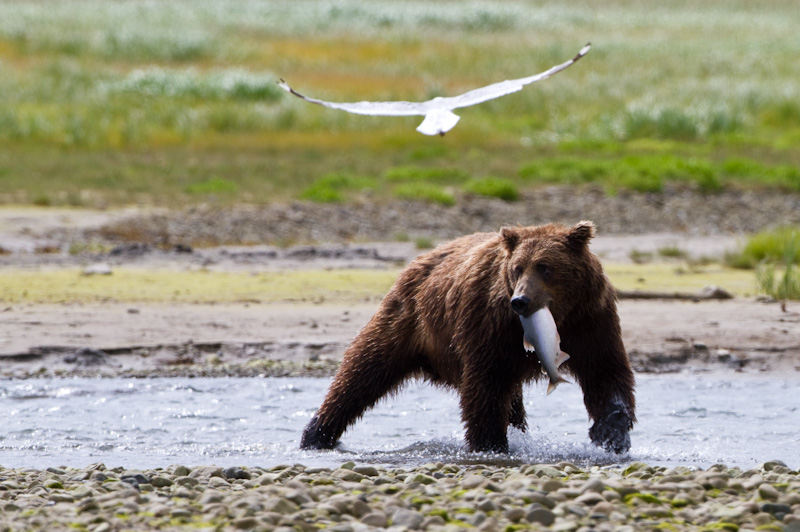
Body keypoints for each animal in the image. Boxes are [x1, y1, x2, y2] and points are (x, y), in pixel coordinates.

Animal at [300, 220, 636, 454]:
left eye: (545, 267)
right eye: (517, 268)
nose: (521, 301)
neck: (559, 317)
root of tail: (422, 258)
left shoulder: (591, 319)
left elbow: (605, 371)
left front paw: (611, 434)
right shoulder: (490, 323)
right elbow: (485, 384)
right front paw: (490, 444)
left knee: (513, 398)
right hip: (407, 319)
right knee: (363, 369)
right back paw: (316, 433)